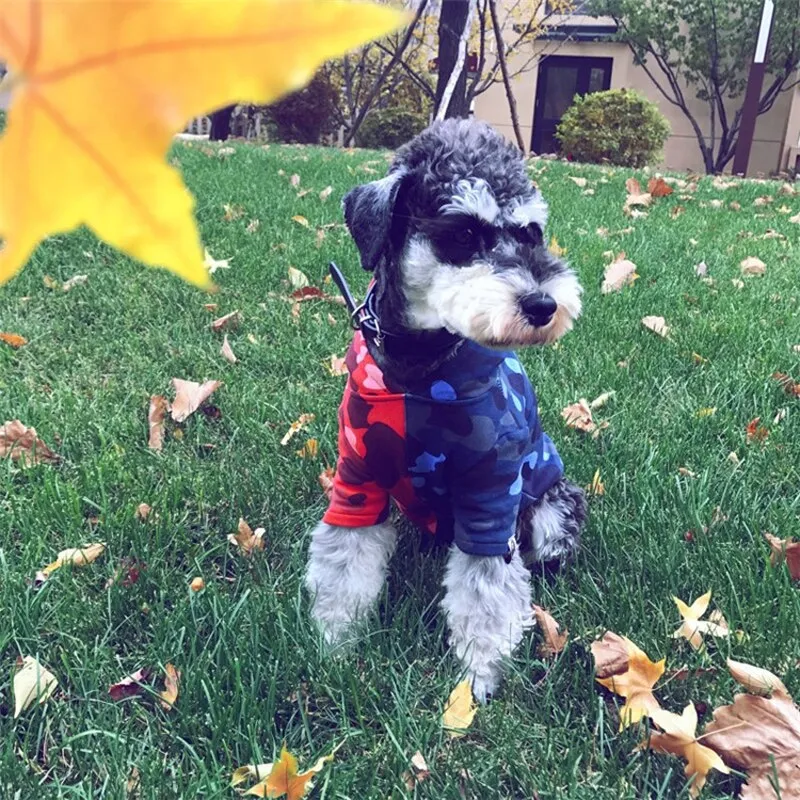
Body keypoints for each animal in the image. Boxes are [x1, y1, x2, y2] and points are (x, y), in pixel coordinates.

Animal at [304, 117, 584, 700]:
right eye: (463, 233)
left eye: (531, 233)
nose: (544, 305)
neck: (421, 370)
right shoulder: (357, 483)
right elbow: (343, 563)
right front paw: (333, 647)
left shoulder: (490, 500)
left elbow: (487, 592)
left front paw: (478, 678)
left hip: (551, 509)